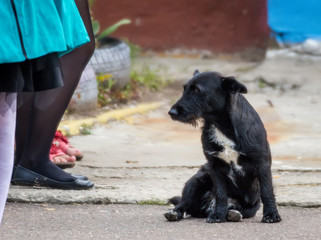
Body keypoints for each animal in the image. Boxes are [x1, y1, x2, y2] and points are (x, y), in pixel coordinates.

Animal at [165, 70, 280, 223]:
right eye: (184, 88)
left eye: (197, 90)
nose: (171, 112)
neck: (221, 125)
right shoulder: (215, 166)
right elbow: (220, 194)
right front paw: (218, 214)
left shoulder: (261, 164)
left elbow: (267, 191)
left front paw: (271, 214)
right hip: (198, 178)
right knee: (184, 203)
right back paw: (175, 212)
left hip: (251, 205)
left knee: (242, 209)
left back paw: (233, 213)